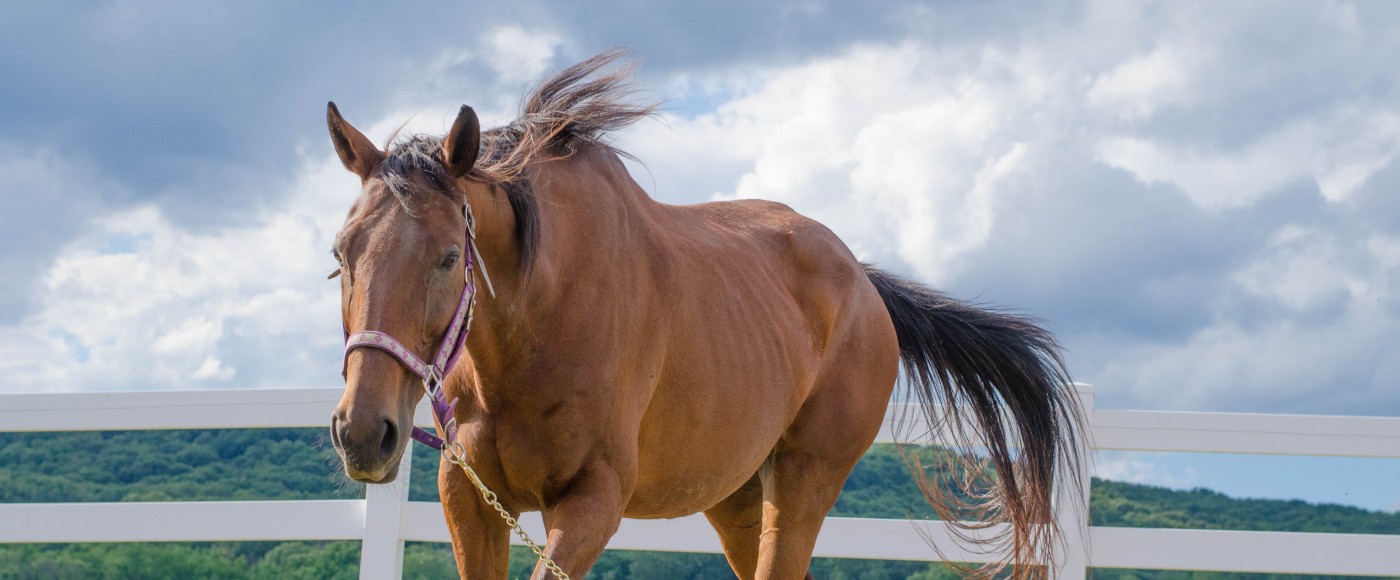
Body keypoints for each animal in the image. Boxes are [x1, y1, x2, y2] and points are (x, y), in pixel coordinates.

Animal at [324, 51, 1080, 580]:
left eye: (451, 256)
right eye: (340, 252)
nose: (363, 433)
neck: (537, 327)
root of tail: (862, 283)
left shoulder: (594, 499)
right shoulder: (469, 495)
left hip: (803, 483)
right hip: (736, 498)